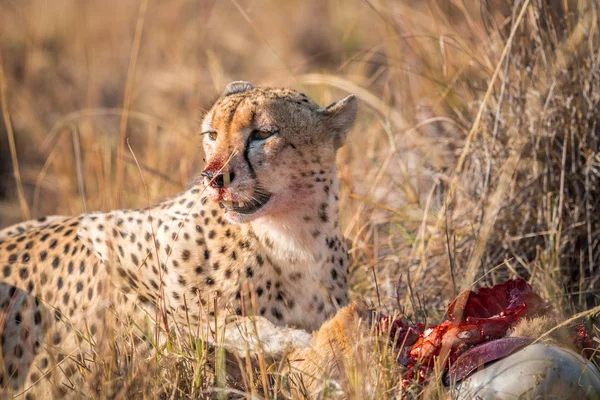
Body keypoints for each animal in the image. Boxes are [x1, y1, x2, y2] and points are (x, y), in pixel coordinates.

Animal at [0, 81, 356, 396]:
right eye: (212, 135)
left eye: (263, 134)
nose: (213, 177)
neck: (292, 235)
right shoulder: (113, 238)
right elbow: (211, 318)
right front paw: (287, 338)